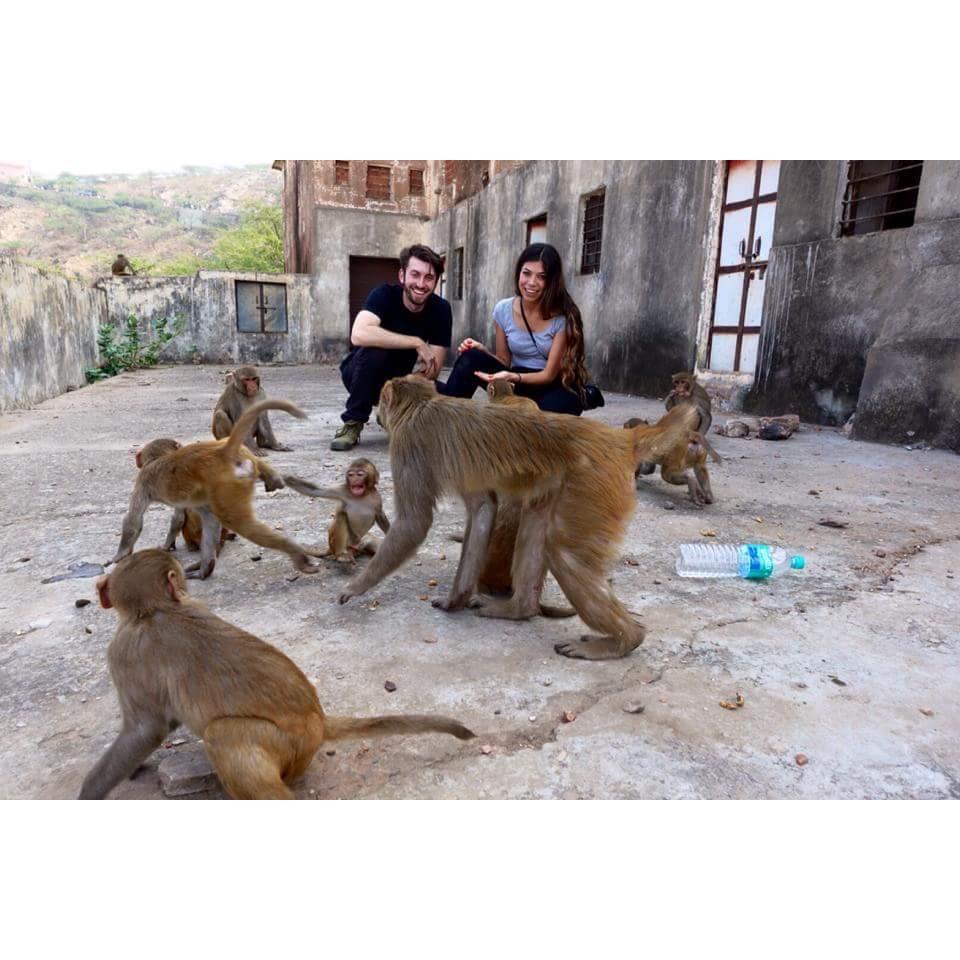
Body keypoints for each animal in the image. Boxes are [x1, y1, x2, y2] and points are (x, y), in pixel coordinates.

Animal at [79, 550, 475, 800]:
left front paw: (89, 791)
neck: (155, 609)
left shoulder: (123, 653)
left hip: (289, 746)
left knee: (220, 733)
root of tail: (318, 719)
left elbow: (146, 728)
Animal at [113, 399, 322, 579]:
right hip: (242, 462)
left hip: (227, 484)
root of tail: (222, 452)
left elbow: (134, 520)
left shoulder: (142, 481)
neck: (159, 458)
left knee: (238, 522)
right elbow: (199, 517)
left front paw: (120, 555)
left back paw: (295, 553)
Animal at [337, 375, 699, 661]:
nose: (378, 416)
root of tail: (619, 439)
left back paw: (624, 640)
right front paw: (456, 600)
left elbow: (414, 522)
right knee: (537, 521)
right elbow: (483, 508)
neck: (421, 404)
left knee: (563, 552)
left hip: (592, 485)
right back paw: (520, 608)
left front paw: (356, 587)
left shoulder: (408, 444)